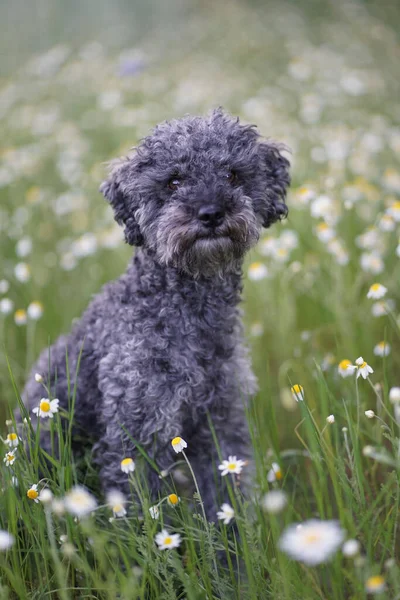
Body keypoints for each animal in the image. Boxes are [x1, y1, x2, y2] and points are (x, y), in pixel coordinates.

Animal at [20, 109, 290, 520]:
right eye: (173, 181)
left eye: (232, 174)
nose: (211, 212)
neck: (190, 317)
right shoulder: (136, 431)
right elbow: (137, 512)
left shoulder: (221, 419)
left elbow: (225, 495)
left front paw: (233, 539)